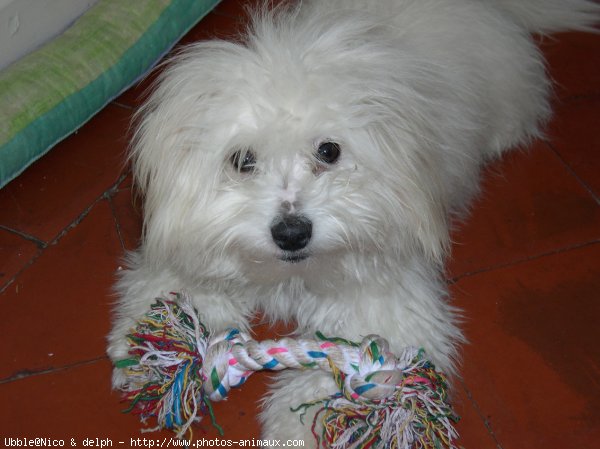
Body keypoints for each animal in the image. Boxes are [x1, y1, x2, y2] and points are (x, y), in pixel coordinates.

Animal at [109, 0, 600, 440]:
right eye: (243, 160)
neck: (291, 275)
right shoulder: (190, 247)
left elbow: (337, 365)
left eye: (329, 150)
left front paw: (294, 428)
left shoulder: (382, 297)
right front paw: (148, 356)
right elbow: (170, 299)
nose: (291, 233)